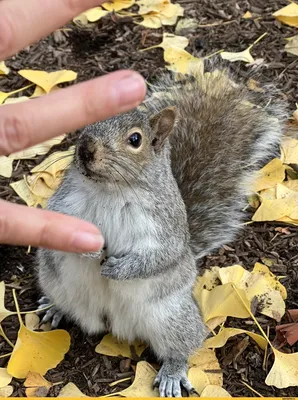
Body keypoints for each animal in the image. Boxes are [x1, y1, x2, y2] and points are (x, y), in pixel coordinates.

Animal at [36, 66, 286, 396]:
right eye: (88, 123)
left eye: (135, 139)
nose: (86, 149)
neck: (110, 189)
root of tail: (112, 323)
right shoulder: (64, 203)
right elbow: (57, 224)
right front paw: (88, 248)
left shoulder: (166, 226)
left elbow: (162, 255)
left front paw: (119, 269)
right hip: (54, 281)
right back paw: (54, 308)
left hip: (171, 316)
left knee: (185, 342)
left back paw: (172, 372)